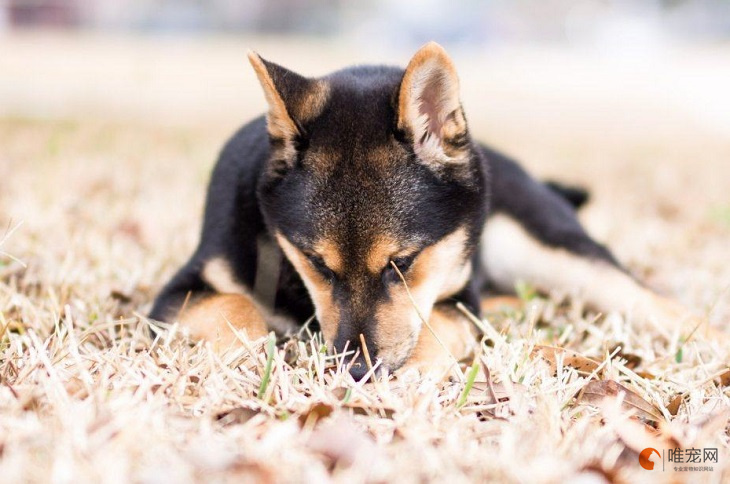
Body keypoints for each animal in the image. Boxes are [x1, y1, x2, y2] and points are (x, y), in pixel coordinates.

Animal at [149, 41, 700, 378]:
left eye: (404, 262)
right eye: (317, 264)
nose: (357, 372)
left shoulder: (458, 298)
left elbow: (438, 323)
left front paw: (414, 373)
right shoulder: (175, 297)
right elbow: (234, 305)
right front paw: (247, 354)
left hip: (553, 251)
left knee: (649, 300)